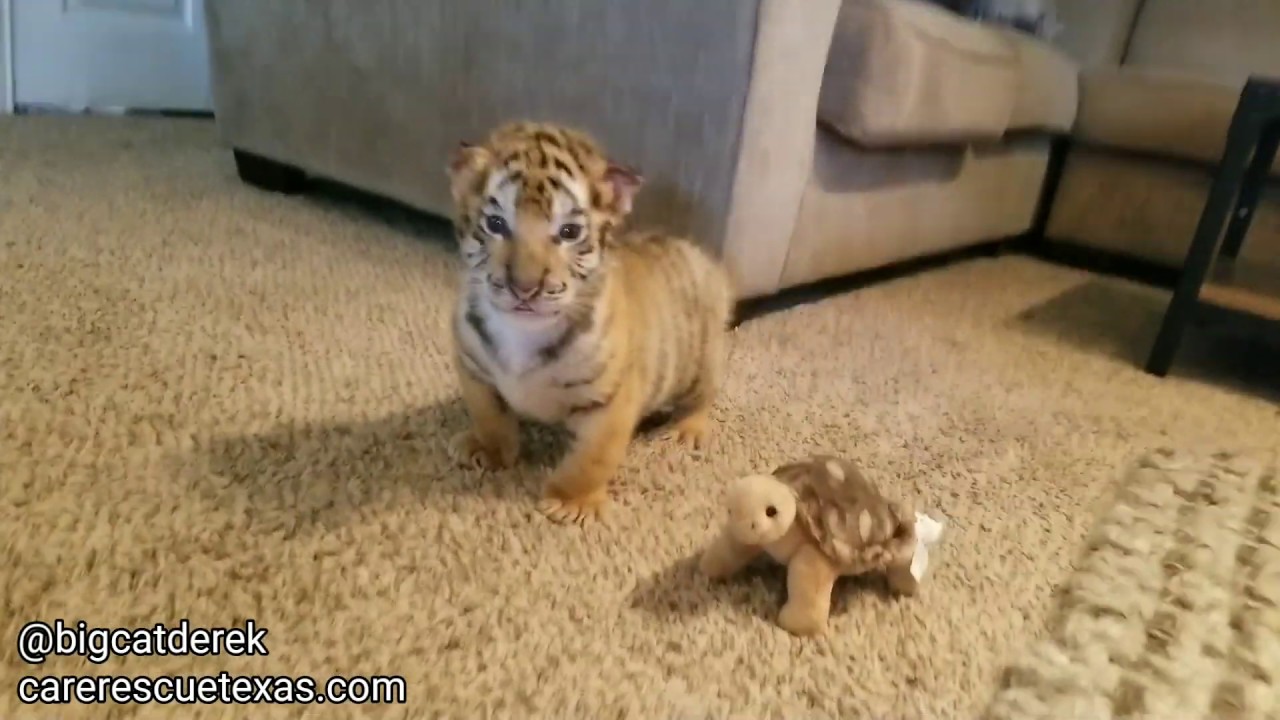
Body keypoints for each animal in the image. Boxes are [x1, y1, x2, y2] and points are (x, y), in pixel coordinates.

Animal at [443, 121, 735, 525]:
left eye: (569, 232)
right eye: (495, 224)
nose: (525, 288)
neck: (521, 334)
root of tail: (699, 255)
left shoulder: (611, 399)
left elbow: (593, 457)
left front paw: (571, 501)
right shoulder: (473, 370)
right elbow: (488, 415)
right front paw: (487, 449)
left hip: (700, 362)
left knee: (702, 396)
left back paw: (688, 428)